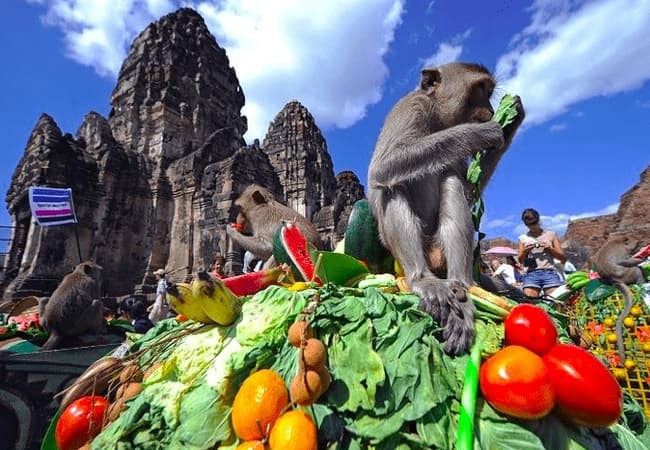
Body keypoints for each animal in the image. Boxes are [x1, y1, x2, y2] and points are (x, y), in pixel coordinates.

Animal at [368, 62, 524, 355]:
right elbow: (384, 167)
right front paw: (481, 132)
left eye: (489, 92)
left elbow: (468, 190)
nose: (489, 111)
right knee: (392, 186)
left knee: (450, 179)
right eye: (478, 90)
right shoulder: (410, 108)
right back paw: (422, 280)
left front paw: (513, 118)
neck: (438, 118)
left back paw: (462, 285)